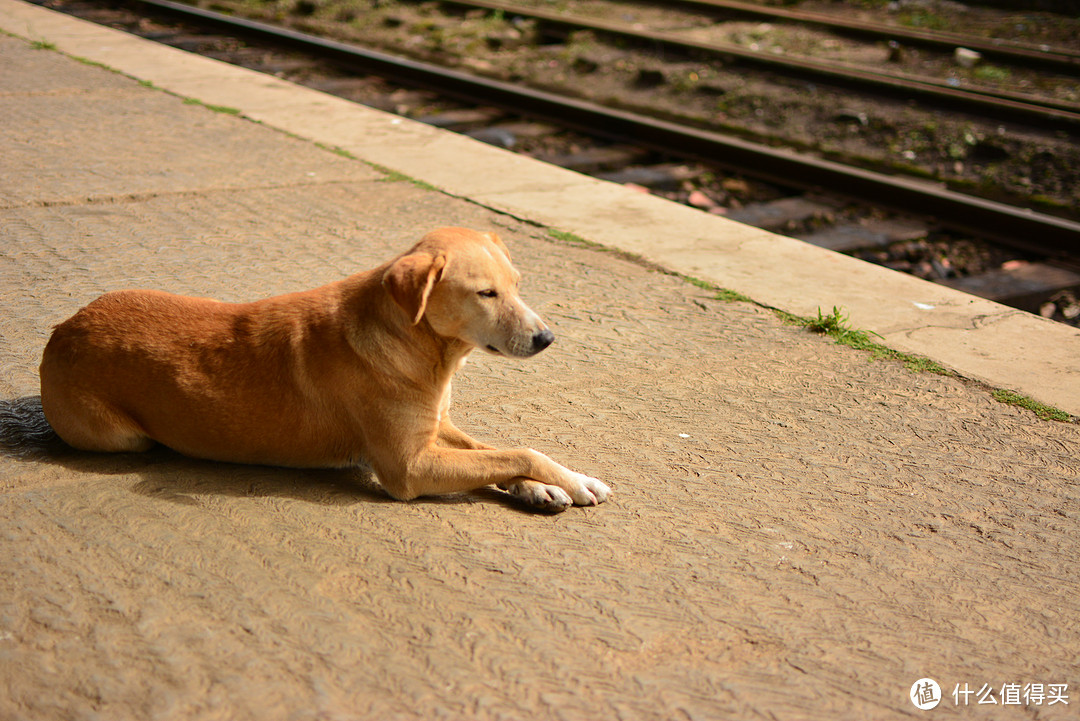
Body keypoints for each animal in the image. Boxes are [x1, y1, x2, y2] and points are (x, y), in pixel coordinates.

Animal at [39, 227, 609, 509]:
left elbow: (501, 451)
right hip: (121, 437)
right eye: (485, 293)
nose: (547, 338)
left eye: (516, 284)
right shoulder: (408, 466)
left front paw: (551, 484)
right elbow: (515, 451)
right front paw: (561, 481)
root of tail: (65, 325)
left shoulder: (435, 428)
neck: (419, 344)